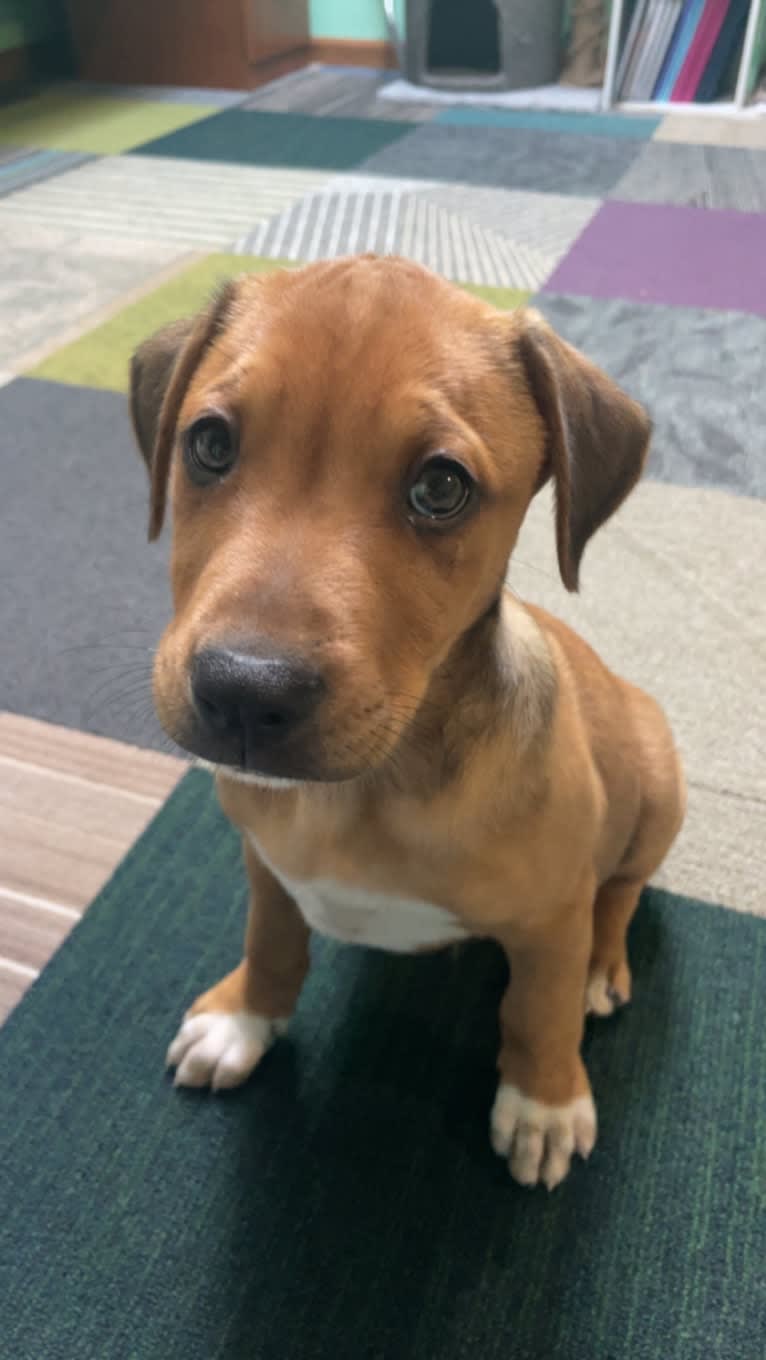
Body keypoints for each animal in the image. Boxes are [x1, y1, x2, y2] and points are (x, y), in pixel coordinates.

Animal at [128, 257, 685, 1191]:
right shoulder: (266, 865)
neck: (365, 793)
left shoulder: (551, 917)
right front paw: (245, 1018)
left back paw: (604, 968)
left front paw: (544, 1103)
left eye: (441, 487)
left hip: (656, 786)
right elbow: (273, 941)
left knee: (623, 890)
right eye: (209, 444)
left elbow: (537, 1012)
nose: (244, 692)